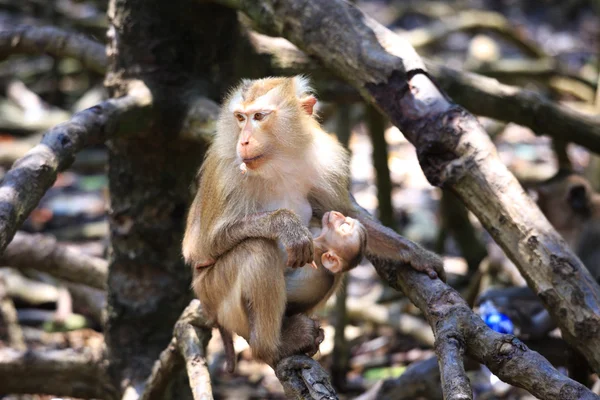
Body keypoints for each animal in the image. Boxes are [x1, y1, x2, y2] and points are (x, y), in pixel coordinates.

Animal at [195, 211, 368, 370]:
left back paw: (269, 348)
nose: (337, 214)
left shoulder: (314, 271)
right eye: (346, 222)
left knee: (258, 247)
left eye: (344, 227)